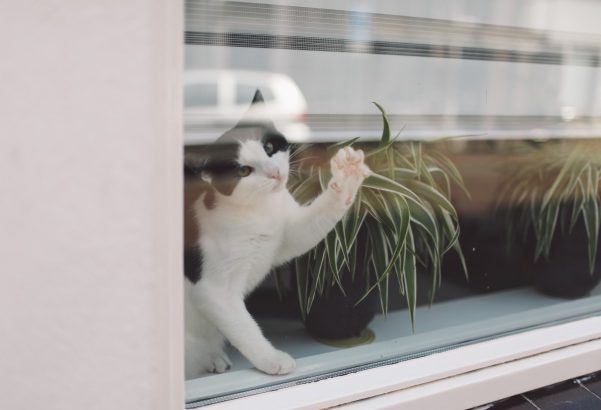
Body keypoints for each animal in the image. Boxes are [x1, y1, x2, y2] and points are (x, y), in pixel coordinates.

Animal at [183, 90, 370, 378]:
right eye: (243, 171)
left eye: (269, 148)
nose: (274, 173)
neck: (258, 211)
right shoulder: (214, 290)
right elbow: (244, 327)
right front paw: (272, 359)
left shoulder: (287, 233)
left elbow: (308, 227)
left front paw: (347, 177)